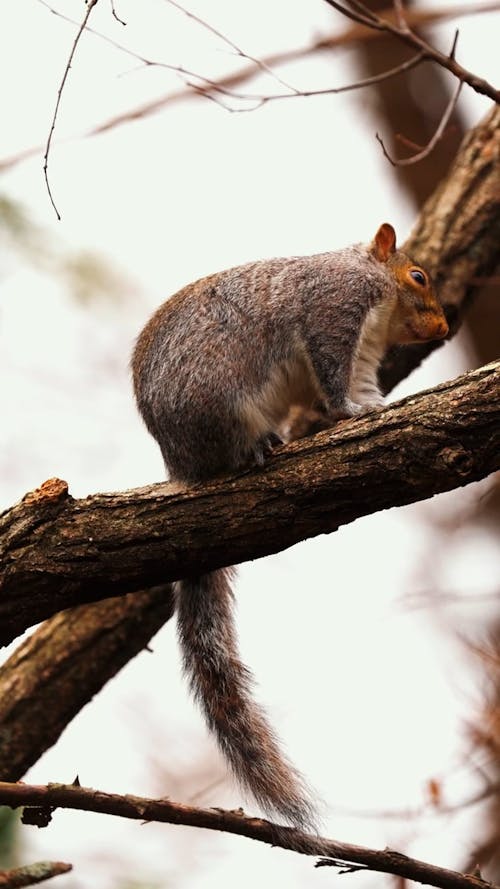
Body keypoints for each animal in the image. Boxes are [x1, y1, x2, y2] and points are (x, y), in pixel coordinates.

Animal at [132, 224, 450, 832]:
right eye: (418, 276)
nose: (444, 329)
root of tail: (182, 466)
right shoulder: (334, 311)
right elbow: (330, 373)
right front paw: (351, 413)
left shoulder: (364, 357)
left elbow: (361, 387)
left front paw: (376, 408)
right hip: (221, 396)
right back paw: (257, 448)